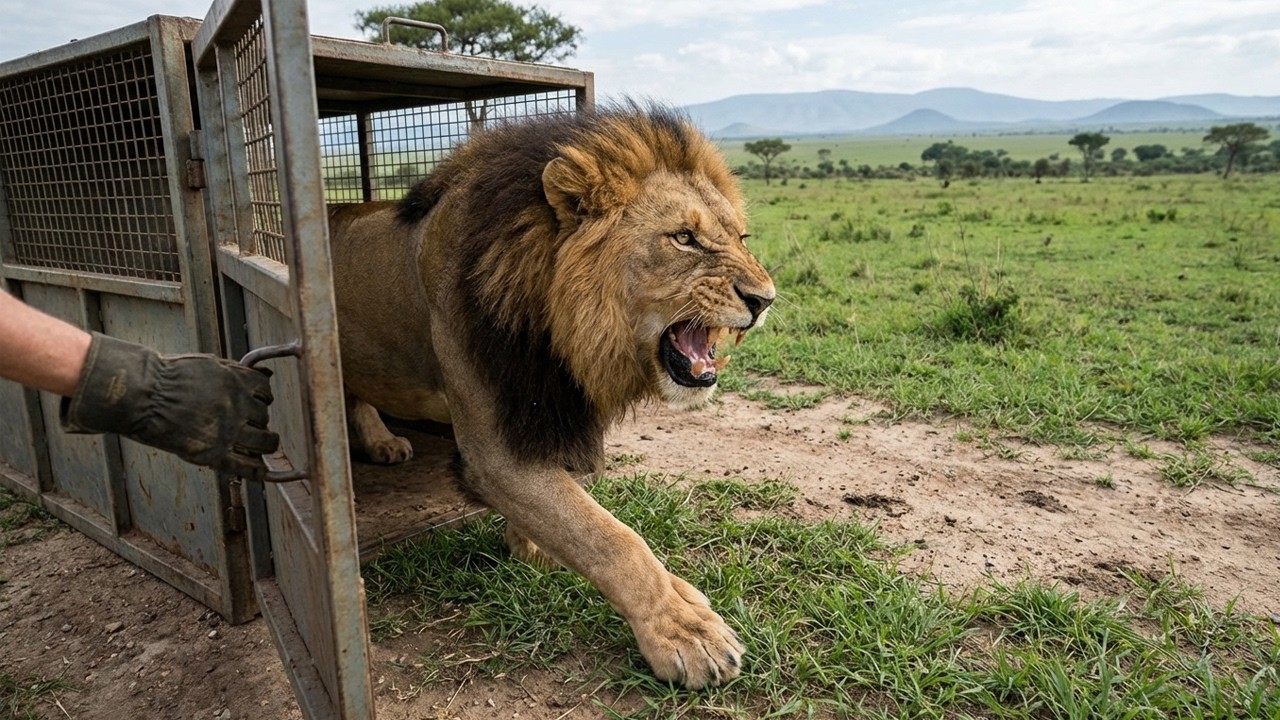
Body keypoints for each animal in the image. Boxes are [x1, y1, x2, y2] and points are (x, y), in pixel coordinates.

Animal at [327, 104, 775, 689]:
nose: (765, 300)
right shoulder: (494, 453)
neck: (555, 320)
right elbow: (613, 539)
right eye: (683, 237)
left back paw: (382, 442)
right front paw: (683, 630)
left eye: (743, 237)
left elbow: (571, 519)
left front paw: (531, 545)